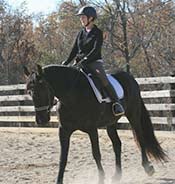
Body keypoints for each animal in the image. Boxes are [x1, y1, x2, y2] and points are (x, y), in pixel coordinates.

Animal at [23, 64, 166, 184]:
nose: (41, 119)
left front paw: (101, 179)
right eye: (29, 92)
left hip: (133, 115)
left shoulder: (91, 129)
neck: (72, 95)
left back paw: (148, 168)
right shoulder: (64, 131)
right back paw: (117, 176)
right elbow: (62, 158)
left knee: (140, 138)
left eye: (42, 90)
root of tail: (129, 77)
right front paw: (59, 180)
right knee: (117, 144)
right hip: (111, 123)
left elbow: (96, 154)